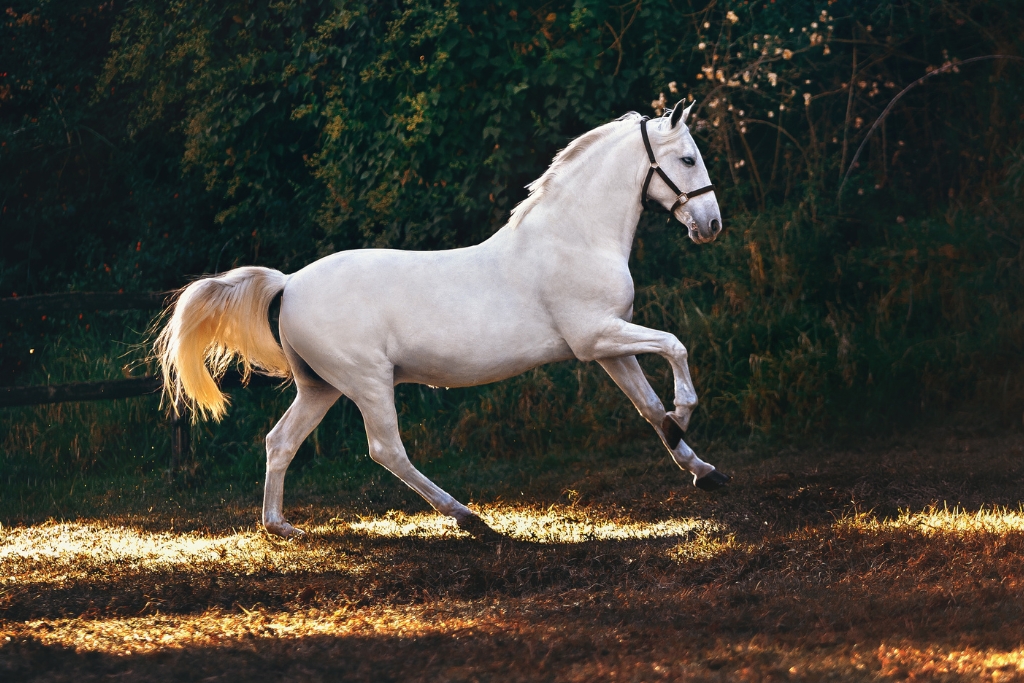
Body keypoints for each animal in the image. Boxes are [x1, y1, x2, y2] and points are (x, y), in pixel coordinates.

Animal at [153, 101, 729, 540]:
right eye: (687, 158)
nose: (711, 225)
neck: (574, 238)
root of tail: (289, 282)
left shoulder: (611, 347)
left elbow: (649, 408)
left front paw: (701, 469)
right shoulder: (596, 338)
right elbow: (675, 347)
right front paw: (685, 414)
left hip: (321, 387)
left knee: (281, 441)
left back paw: (279, 526)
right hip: (367, 382)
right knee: (386, 449)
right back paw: (469, 518)